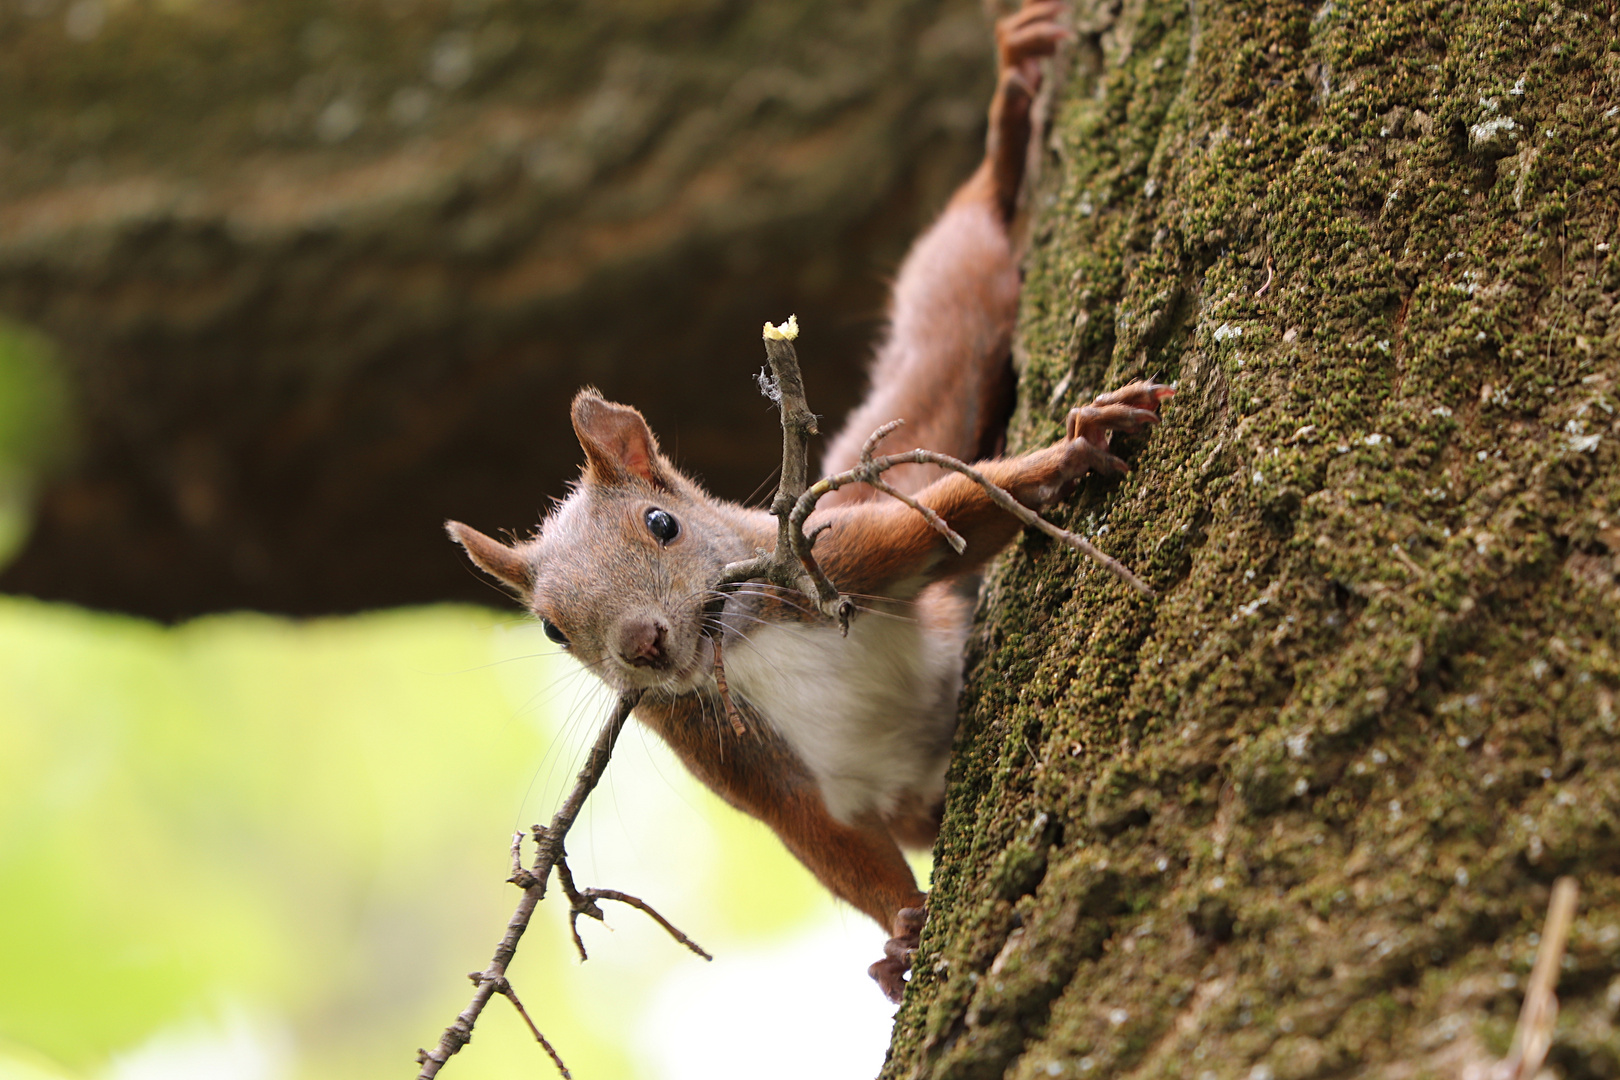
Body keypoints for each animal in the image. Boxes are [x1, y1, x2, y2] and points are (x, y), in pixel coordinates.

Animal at [450, 2, 1172, 1003]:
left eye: (661, 524)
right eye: (554, 630)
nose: (643, 646)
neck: (747, 644)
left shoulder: (832, 556)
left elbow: (948, 523)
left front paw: (1073, 448)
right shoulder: (722, 749)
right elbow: (824, 840)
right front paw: (905, 936)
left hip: (954, 312)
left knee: (973, 244)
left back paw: (1011, 124)